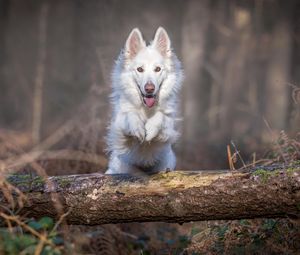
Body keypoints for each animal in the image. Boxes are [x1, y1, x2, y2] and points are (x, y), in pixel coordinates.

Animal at [105, 27, 185, 174]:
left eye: (157, 69)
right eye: (140, 69)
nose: (149, 89)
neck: (146, 109)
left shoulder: (168, 131)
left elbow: (161, 117)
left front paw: (151, 129)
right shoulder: (118, 128)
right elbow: (129, 115)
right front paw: (138, 128)